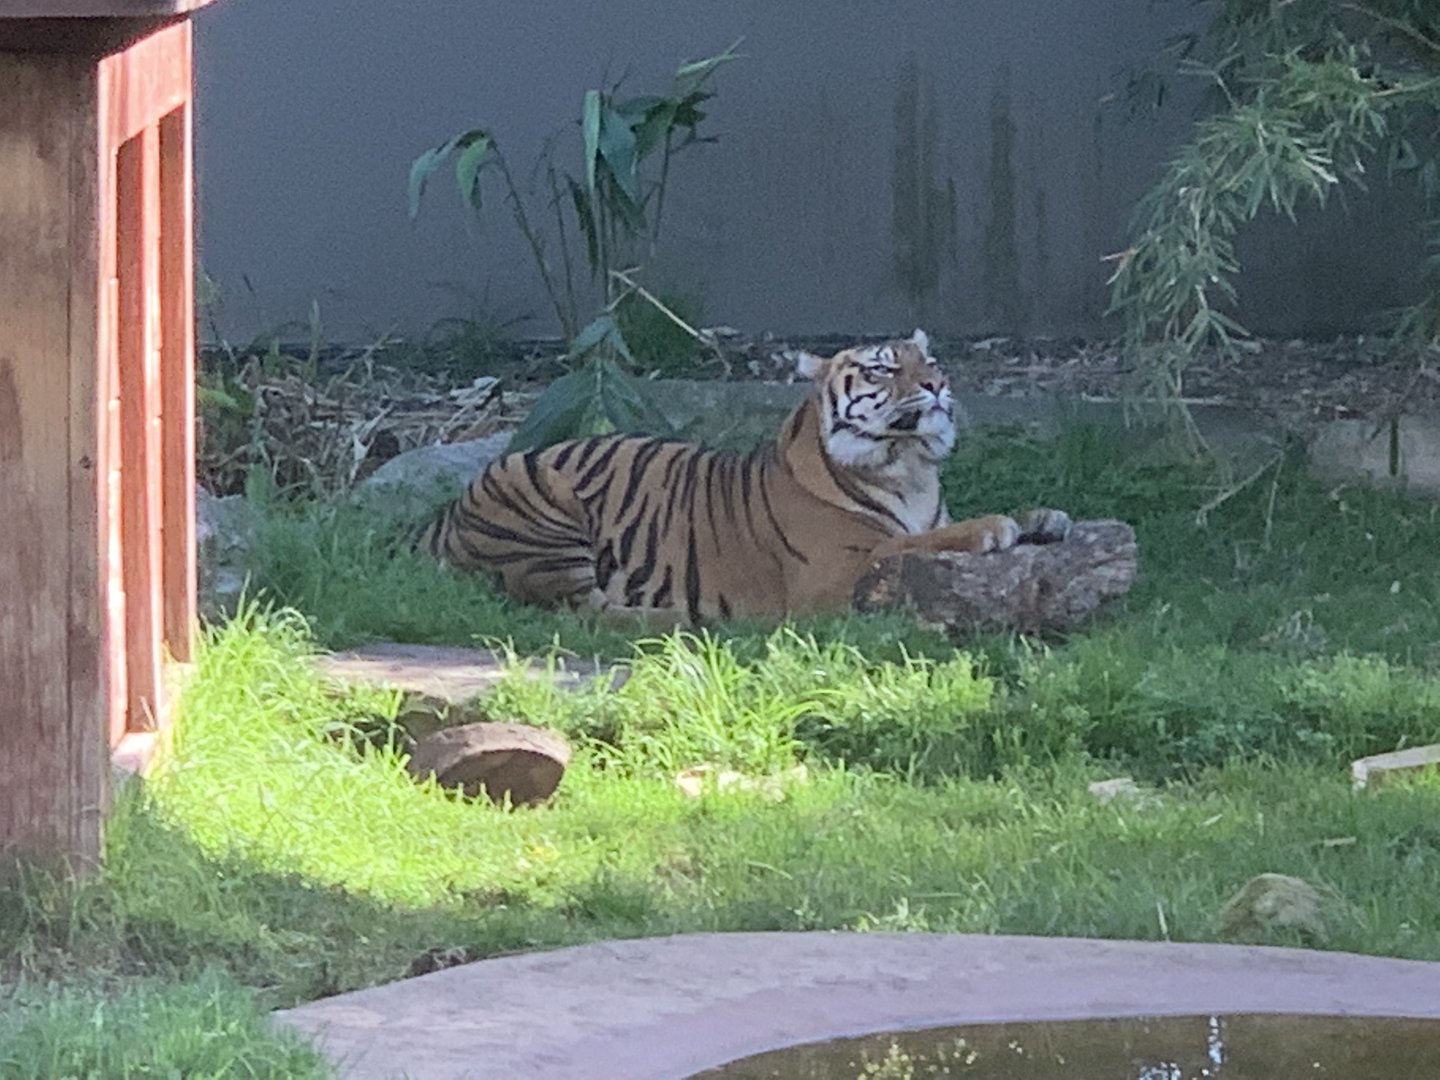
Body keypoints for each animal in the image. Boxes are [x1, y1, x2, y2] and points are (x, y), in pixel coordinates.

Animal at [414, 329, 1072, 627]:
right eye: (883, 370)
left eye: (928, 360)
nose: (937, 384)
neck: (909, 467)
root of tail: (441, 517)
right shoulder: (834, 574)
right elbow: (913, 541)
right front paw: (995, 526)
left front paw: (1048, 517)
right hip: (543, 504)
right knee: (587, 610)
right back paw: (684, 622)